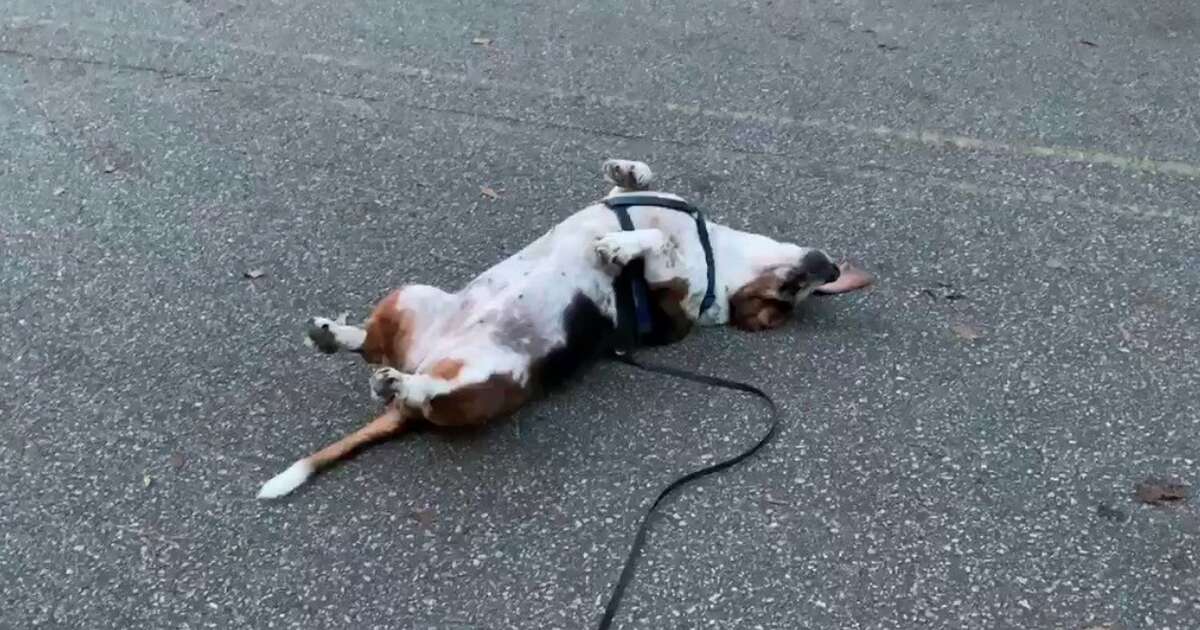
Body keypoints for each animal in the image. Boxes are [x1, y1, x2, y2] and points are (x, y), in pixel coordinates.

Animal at [255, 159, 873, 499]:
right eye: (797, 290)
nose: (828, 269)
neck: (718, 254)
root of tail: (428, 367)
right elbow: (637, 182)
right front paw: (627, 173)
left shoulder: (674, 299)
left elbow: (656, 245)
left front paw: (622, 244)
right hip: (413, 295)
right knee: (373, 346)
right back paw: (335, 336)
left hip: (494, 373)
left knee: (425, 392)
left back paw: (399, 383)